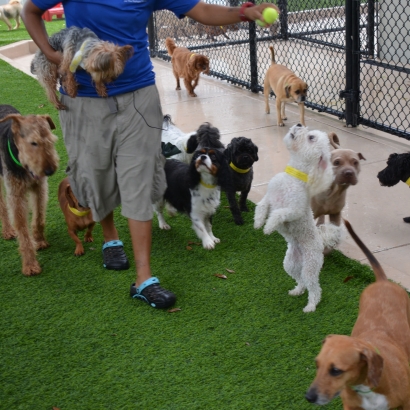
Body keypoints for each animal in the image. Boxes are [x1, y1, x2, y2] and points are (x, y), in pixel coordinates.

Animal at [0, 104, 59, 278]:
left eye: (52, 141)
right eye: (33, 142)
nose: (50, 170)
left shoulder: (39, 187)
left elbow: (39, 217)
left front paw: (39, 241)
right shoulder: (16, 195)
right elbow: (23, 232)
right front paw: (30, 265)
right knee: (2, 207)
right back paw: (8, 231)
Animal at [255, 123, 342, 312]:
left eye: (311, 137)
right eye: (310, 132)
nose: (298, 124)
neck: (293, 176)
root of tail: (320, 241)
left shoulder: (295, 210)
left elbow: (278, 213)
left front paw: (269, 226)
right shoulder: (270, 196)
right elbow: (262, 206)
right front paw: (258, 222)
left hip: (311, 265)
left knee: (315, 288)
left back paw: (311, 306)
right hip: (290, 264)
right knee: (301, 280)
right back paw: (297, 291)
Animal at [304, 221, 410, 410]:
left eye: (336, 370)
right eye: (317, 364)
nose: (309, 397)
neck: (367, 387)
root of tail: (382, 281)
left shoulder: (406, 403)